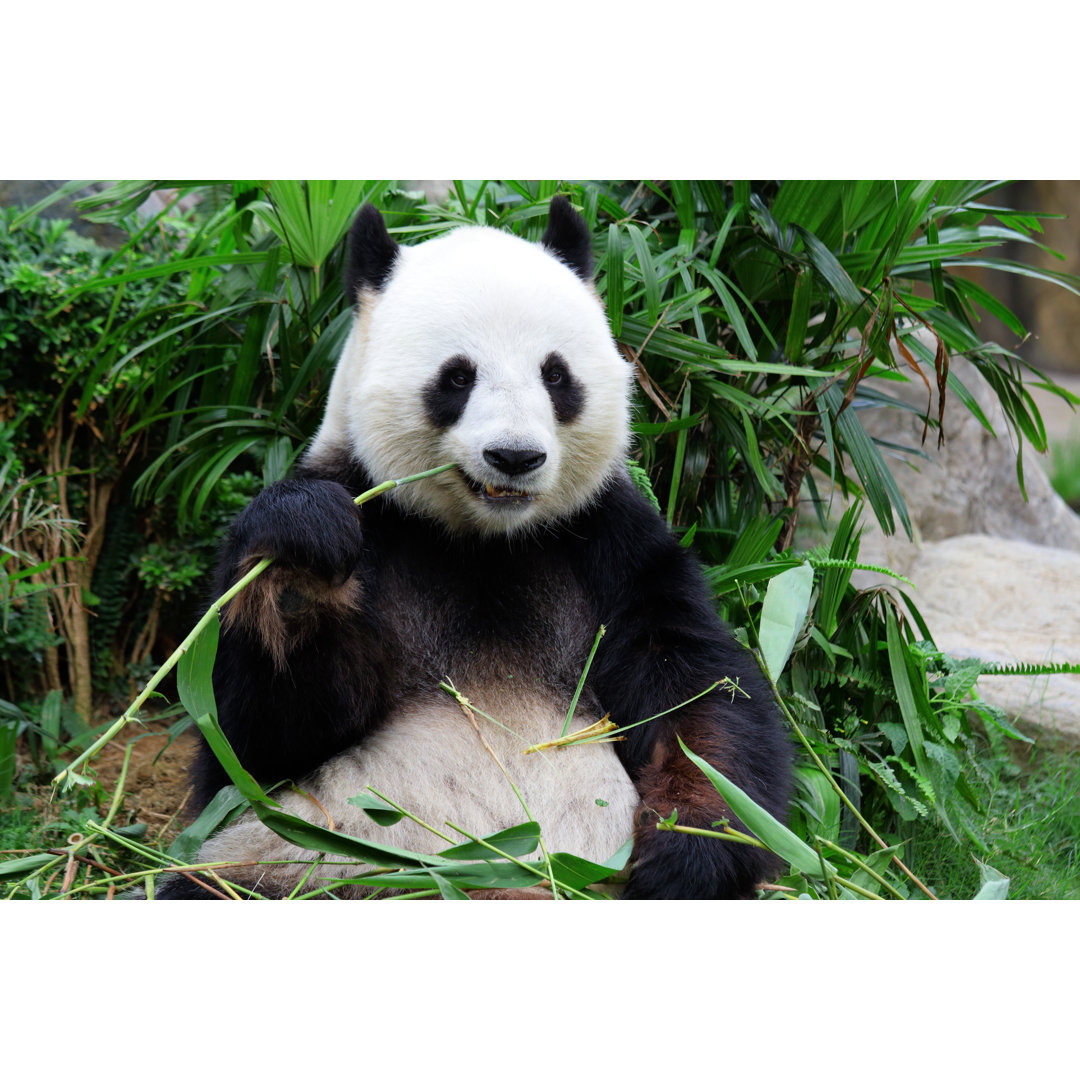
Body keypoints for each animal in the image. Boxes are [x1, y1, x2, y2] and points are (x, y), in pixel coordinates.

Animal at [156, 196, 790, 902]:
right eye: (457, 377)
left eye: (555, 374)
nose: (514, 457)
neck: (484, 541)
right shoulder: (374, 514)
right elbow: (250, 743)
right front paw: (301, 562)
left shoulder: (610, 543)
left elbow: (698, 694)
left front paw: (690, 851)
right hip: (303, 866)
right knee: (217, 882)